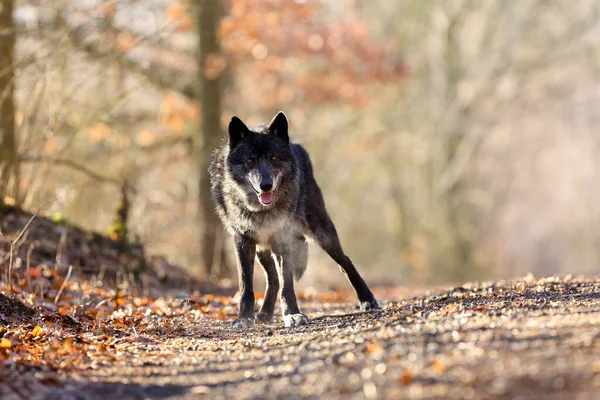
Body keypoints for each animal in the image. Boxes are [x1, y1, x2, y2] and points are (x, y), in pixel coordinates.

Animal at [209, 111, 382, 326]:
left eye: (274, 157)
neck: (261, 210)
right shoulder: (243, 240)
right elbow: (246, 284)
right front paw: (244, 318)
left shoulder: (282, 238)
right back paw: (265, 313)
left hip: (322, 233)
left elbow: (287, 283)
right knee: (273, 279)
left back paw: (368, 300)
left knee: (345, 261)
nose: (266, 185)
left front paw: (292, 314)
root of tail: (296, 146)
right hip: (263, 250)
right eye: (249, 160)